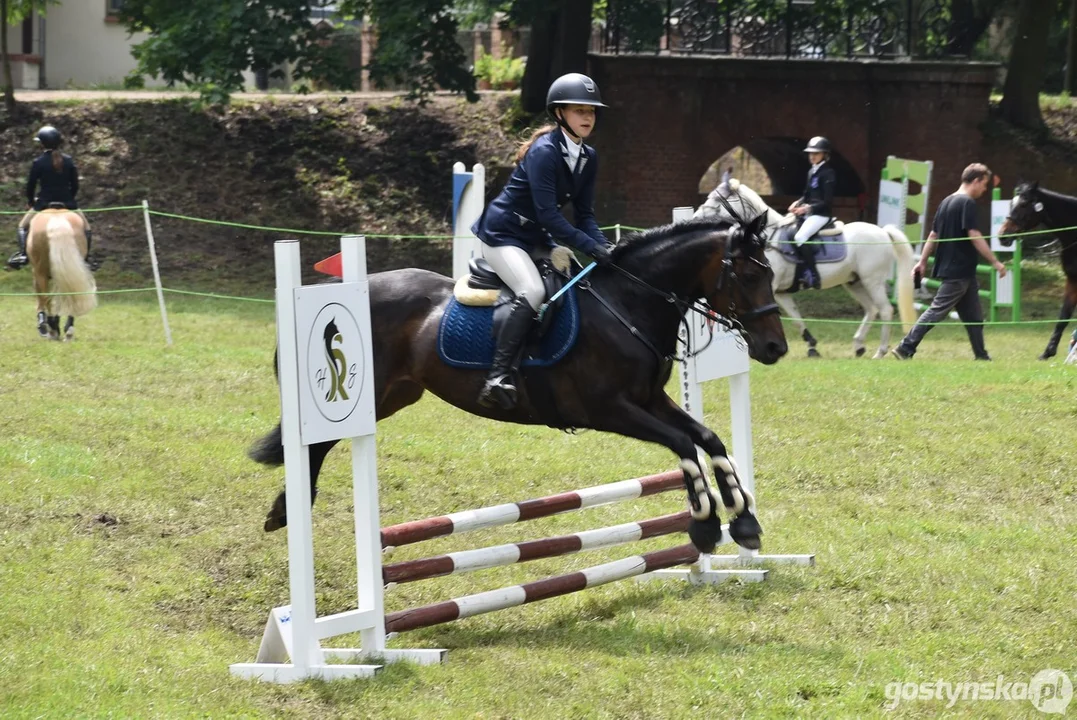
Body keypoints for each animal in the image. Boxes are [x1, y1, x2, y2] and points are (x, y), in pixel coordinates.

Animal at [27, 204, 96, 340]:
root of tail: (56, 218)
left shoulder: (38, 273)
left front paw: (47, 327)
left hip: (40, 272)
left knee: (45, 297)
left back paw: (50, 329)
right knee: (70, 294)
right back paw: (68, 330)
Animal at [252, 216, 792, 555]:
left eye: (771, 274)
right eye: (747, 275)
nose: (775, 348)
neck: (629, 303)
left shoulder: (649, 399)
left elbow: (708, 439)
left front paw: (744, 521)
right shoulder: (609, 409)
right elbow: (683, 444)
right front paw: (705, 526)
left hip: (393, 396)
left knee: (322, 443)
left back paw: (285, 509)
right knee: (317, 442)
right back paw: (285, 511)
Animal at [693, 179, 913, 359]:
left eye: (716, 200)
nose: (694, 218)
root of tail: (883, 231)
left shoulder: (769, 288)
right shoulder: (780, 292)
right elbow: (797, 319)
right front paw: (812, 346)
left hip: (872, 281)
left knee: (885, 310)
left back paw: (881, 351)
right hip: (854, 282)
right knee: (872, 309)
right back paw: (859, 345)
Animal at [995, 179, 1077, 359]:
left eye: (1024, 204)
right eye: (1011, 203)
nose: (1003, 236)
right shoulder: (1072, 281)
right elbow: (1063, 316)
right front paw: (1048, 352)